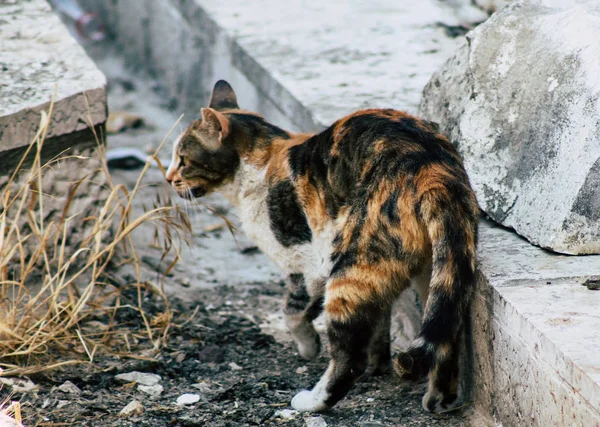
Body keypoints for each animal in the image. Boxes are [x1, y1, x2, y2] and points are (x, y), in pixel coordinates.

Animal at [166, 80, 480, 414]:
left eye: (183, 160)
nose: (168, 177)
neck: (261, 163)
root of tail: (432, 168)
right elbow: (380, 321)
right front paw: (378, 362)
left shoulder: (309, 265)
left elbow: (292, 312)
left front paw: (308, 346)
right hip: (434, 270)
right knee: (446, 332)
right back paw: (441, 399)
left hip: (352, 265)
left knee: (348, 357)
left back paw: (313, 401)